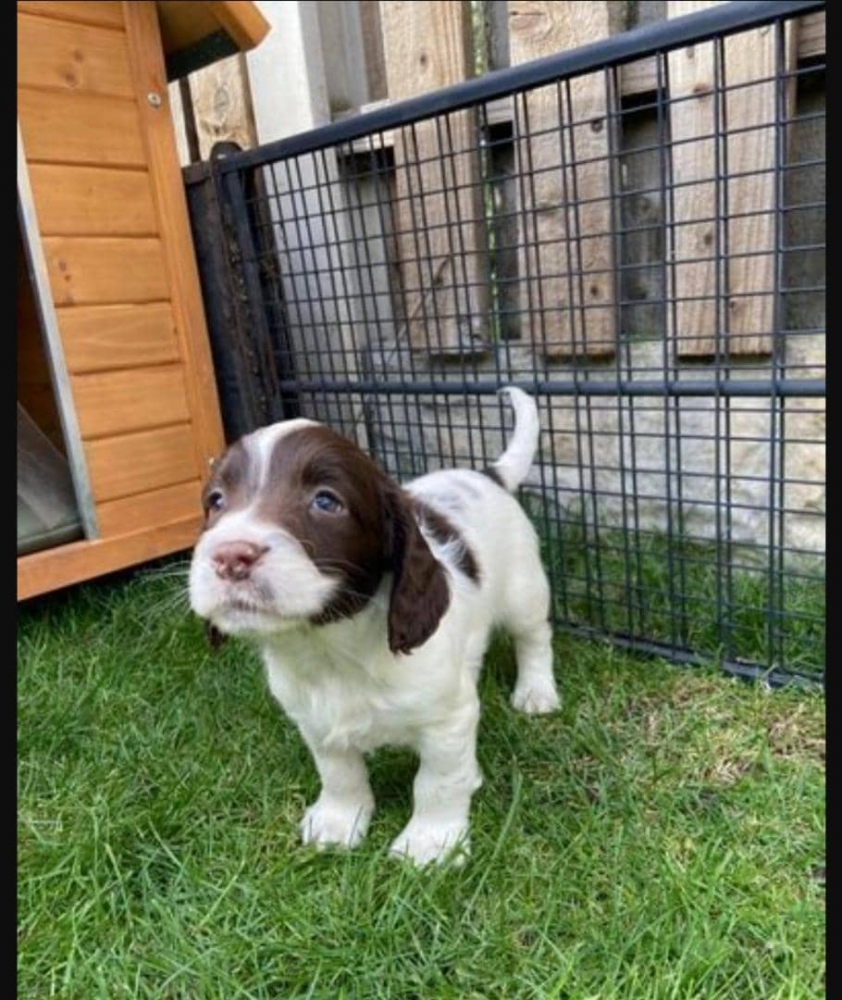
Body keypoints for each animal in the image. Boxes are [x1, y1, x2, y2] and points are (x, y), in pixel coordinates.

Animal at [189, 386, 556, 864]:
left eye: (326, 501)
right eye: (216, 501)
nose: (230, 556)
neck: (330, 647)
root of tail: (486, 475)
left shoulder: (449, 718)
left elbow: (437, 782)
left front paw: (430, 843)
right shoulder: (313, 718)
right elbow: (339, 772)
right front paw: (338, 822)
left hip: (523, 590)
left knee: (534, 637)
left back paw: (536, 692)